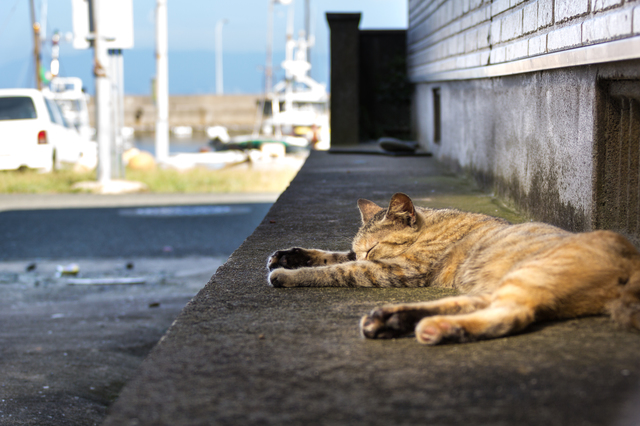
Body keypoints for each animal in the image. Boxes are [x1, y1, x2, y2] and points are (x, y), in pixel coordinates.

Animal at [268, 193, 640, 346]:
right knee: (473, 306)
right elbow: (336, 256)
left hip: (528, 275)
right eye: (362, 248)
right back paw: (392, 320)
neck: (430, 226)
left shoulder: (395, 268)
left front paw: (288, 274)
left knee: (510, 314)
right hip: (500, 284)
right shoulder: (366, 259)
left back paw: (433, 329)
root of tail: (632, 257)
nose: (365, 253)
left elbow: (340, 270)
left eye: (372, 248)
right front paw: (289, 256)